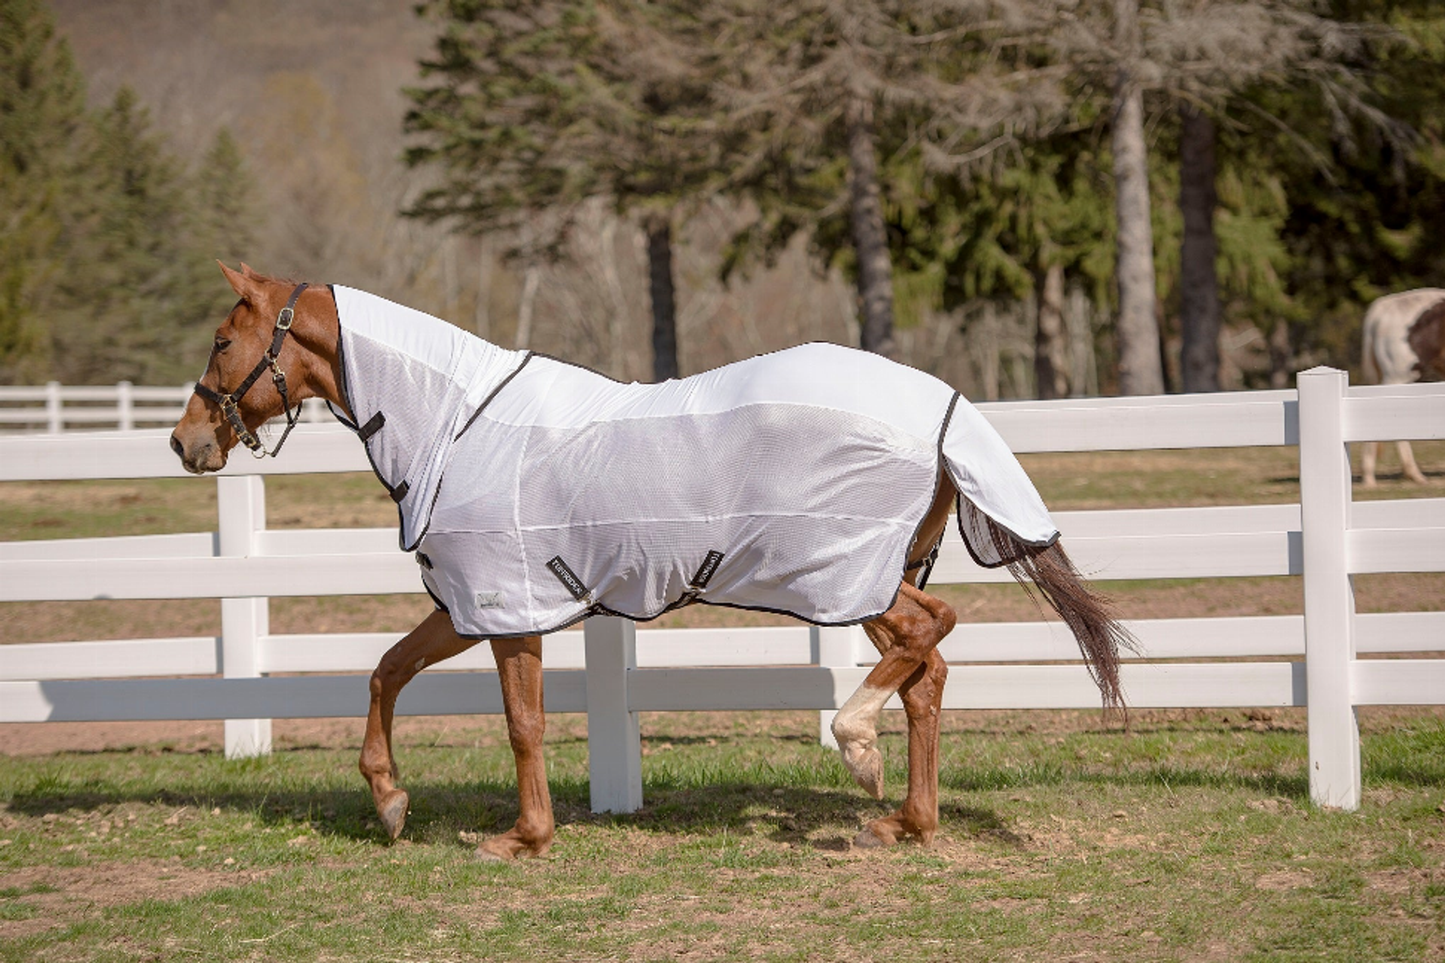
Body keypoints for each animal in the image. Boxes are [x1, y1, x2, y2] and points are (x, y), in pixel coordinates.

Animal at [169, 263, 1132, 856]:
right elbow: (384, 671)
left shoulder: (506, 607)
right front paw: (390, 800)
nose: (185, 443)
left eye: (220, 340)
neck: (456, 424)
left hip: (845, 576)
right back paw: (904, 821)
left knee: (930, 633)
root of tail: (943, 405)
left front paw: (521, 837)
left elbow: (521, 723)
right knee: (926, 673)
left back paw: (858, 749)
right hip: (870, 577)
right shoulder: (468, 603)